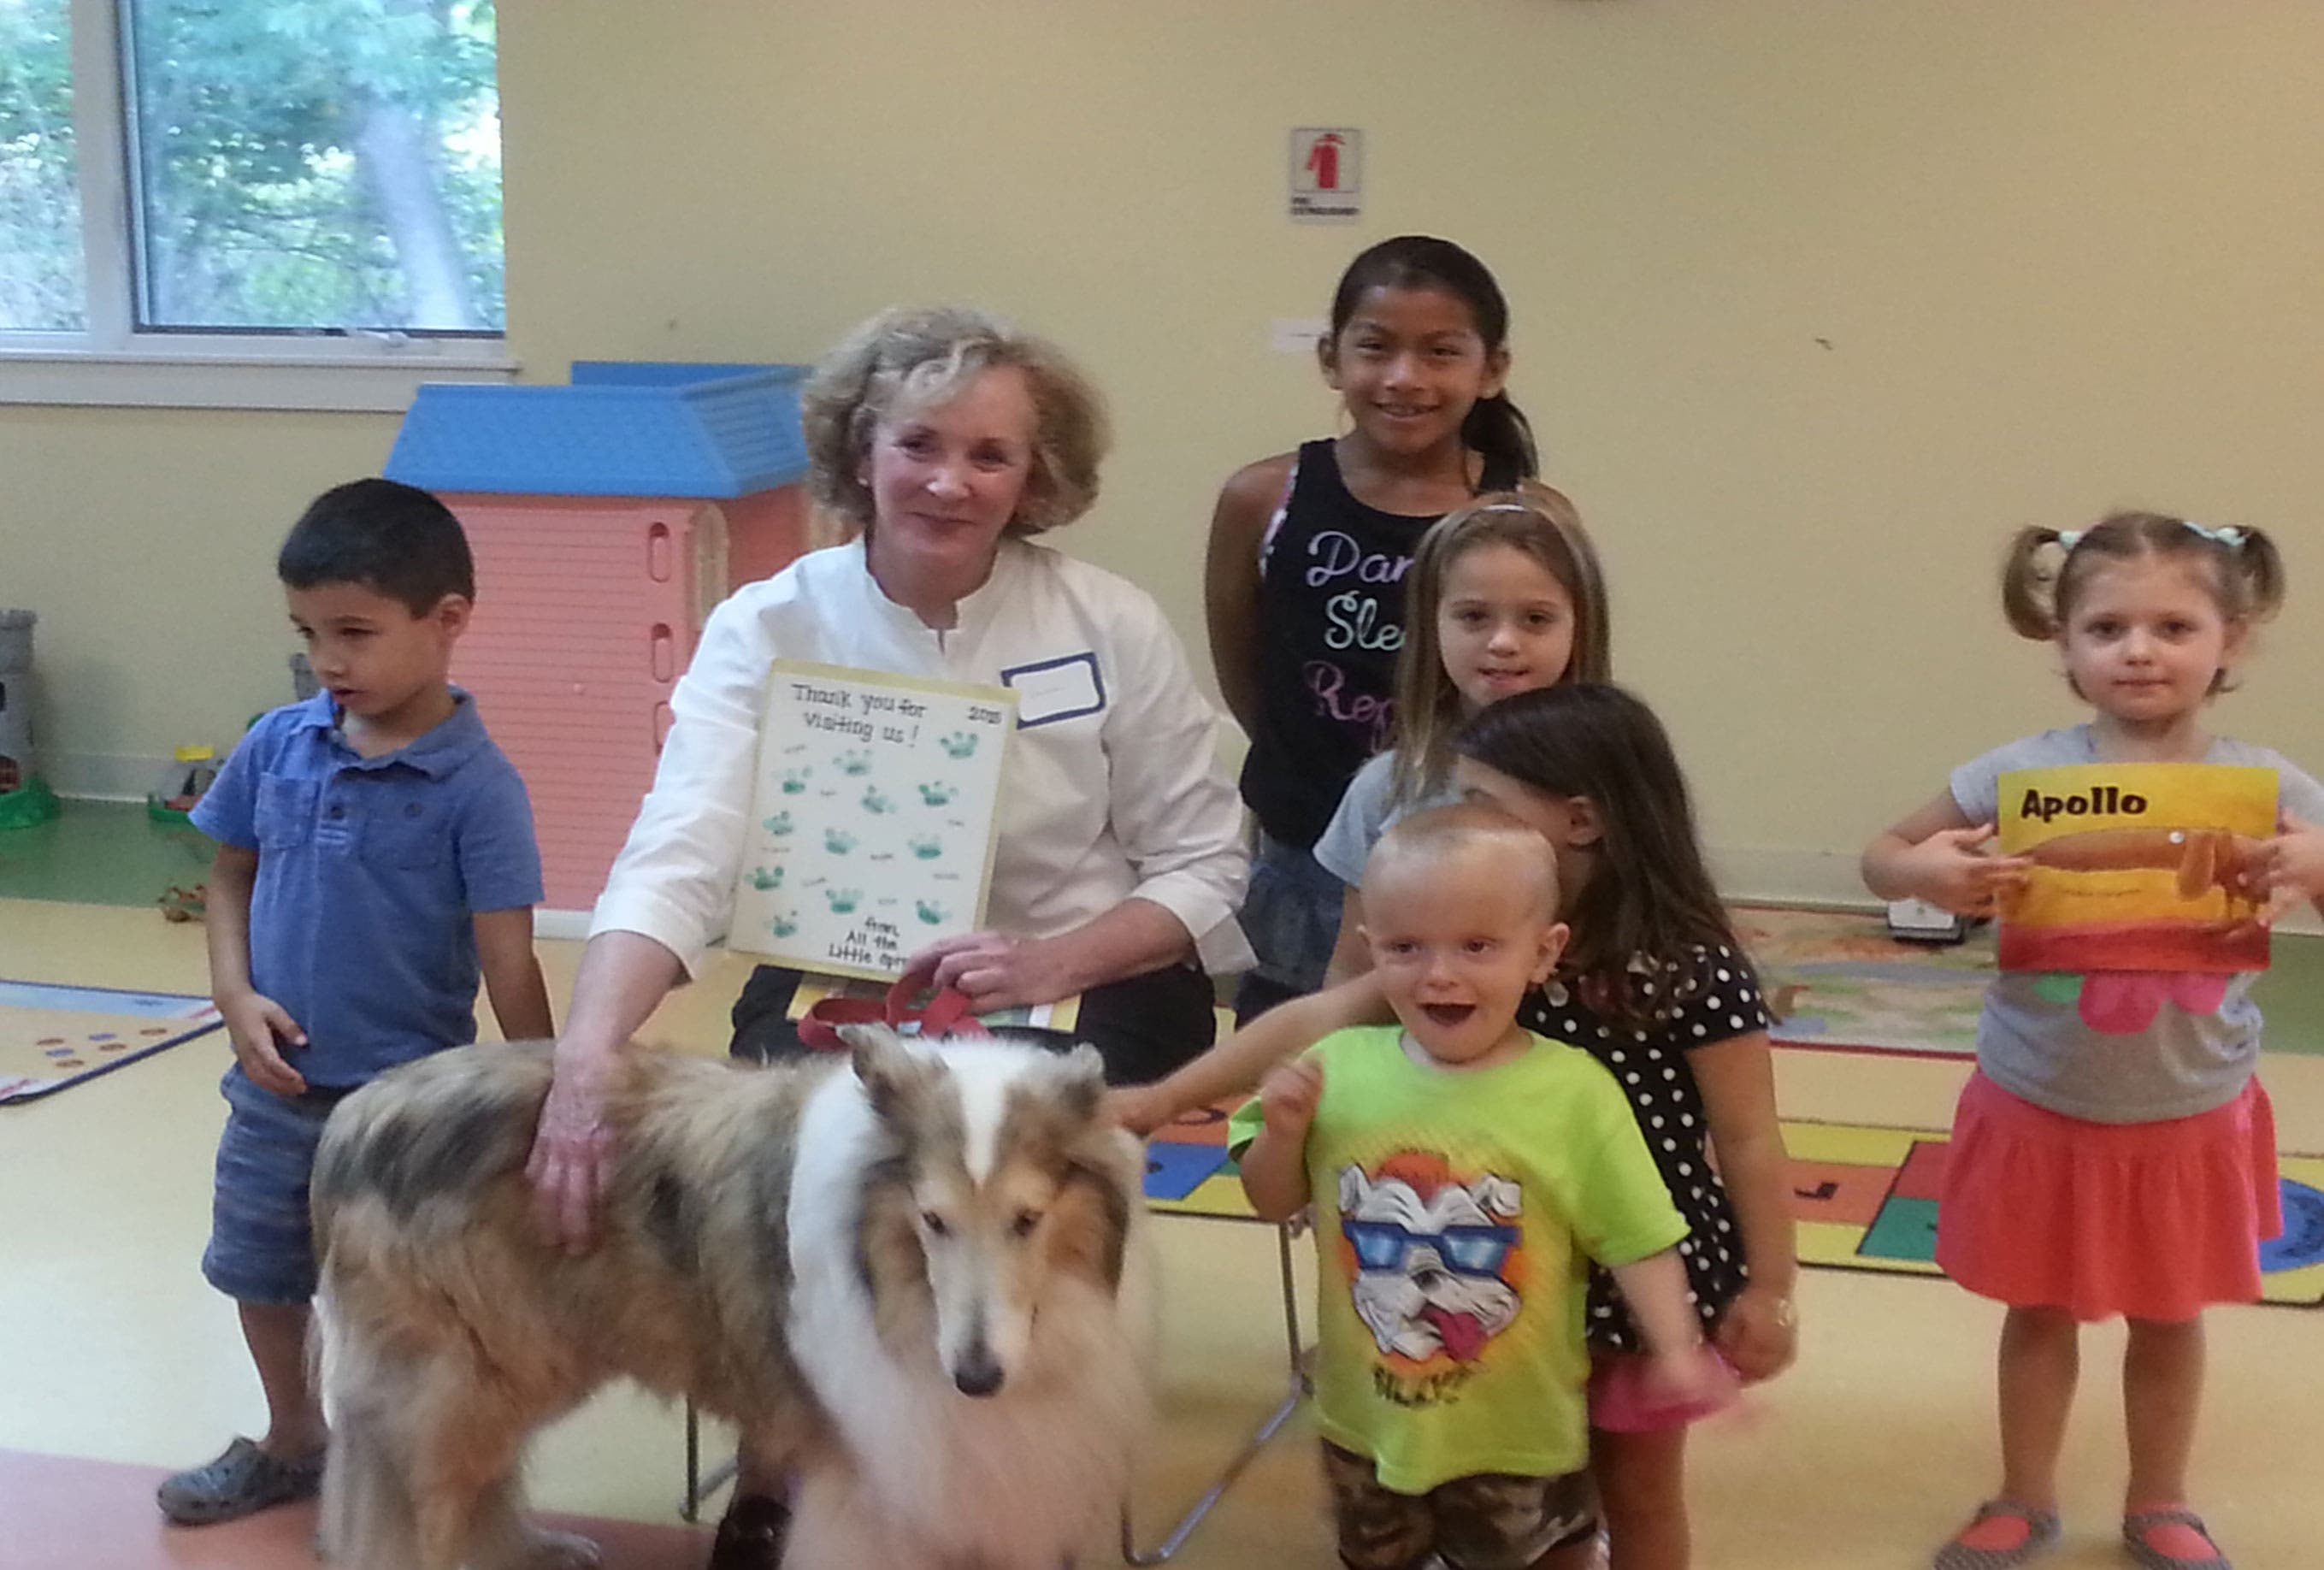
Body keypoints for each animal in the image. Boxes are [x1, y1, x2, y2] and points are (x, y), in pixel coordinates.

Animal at [309, 1026, 1154, 1570]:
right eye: (934, 1220)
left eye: (1028, 1220)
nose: (976, 1380)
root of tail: (350, 1116)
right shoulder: (878, 1479)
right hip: (457, 1389)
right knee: (414, 1514)